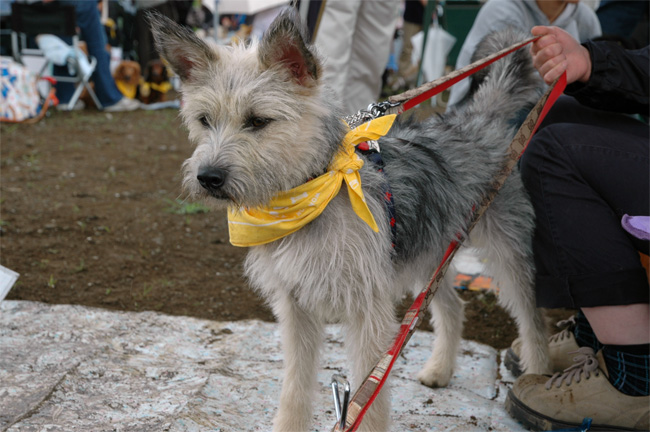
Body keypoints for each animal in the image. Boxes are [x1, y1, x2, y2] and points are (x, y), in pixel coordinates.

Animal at [149, 8, 548, 430]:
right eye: (204, 120)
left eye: (257, 121)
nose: (207, 177)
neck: (310, 196)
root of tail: (477, 119)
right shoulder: (296, 309)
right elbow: (294, 388)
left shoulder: (367, 313)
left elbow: (366, 399)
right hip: (428, 252)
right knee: (453, 308)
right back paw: (440, 369)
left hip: (507, 252)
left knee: (533, 319)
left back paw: (537, 376)